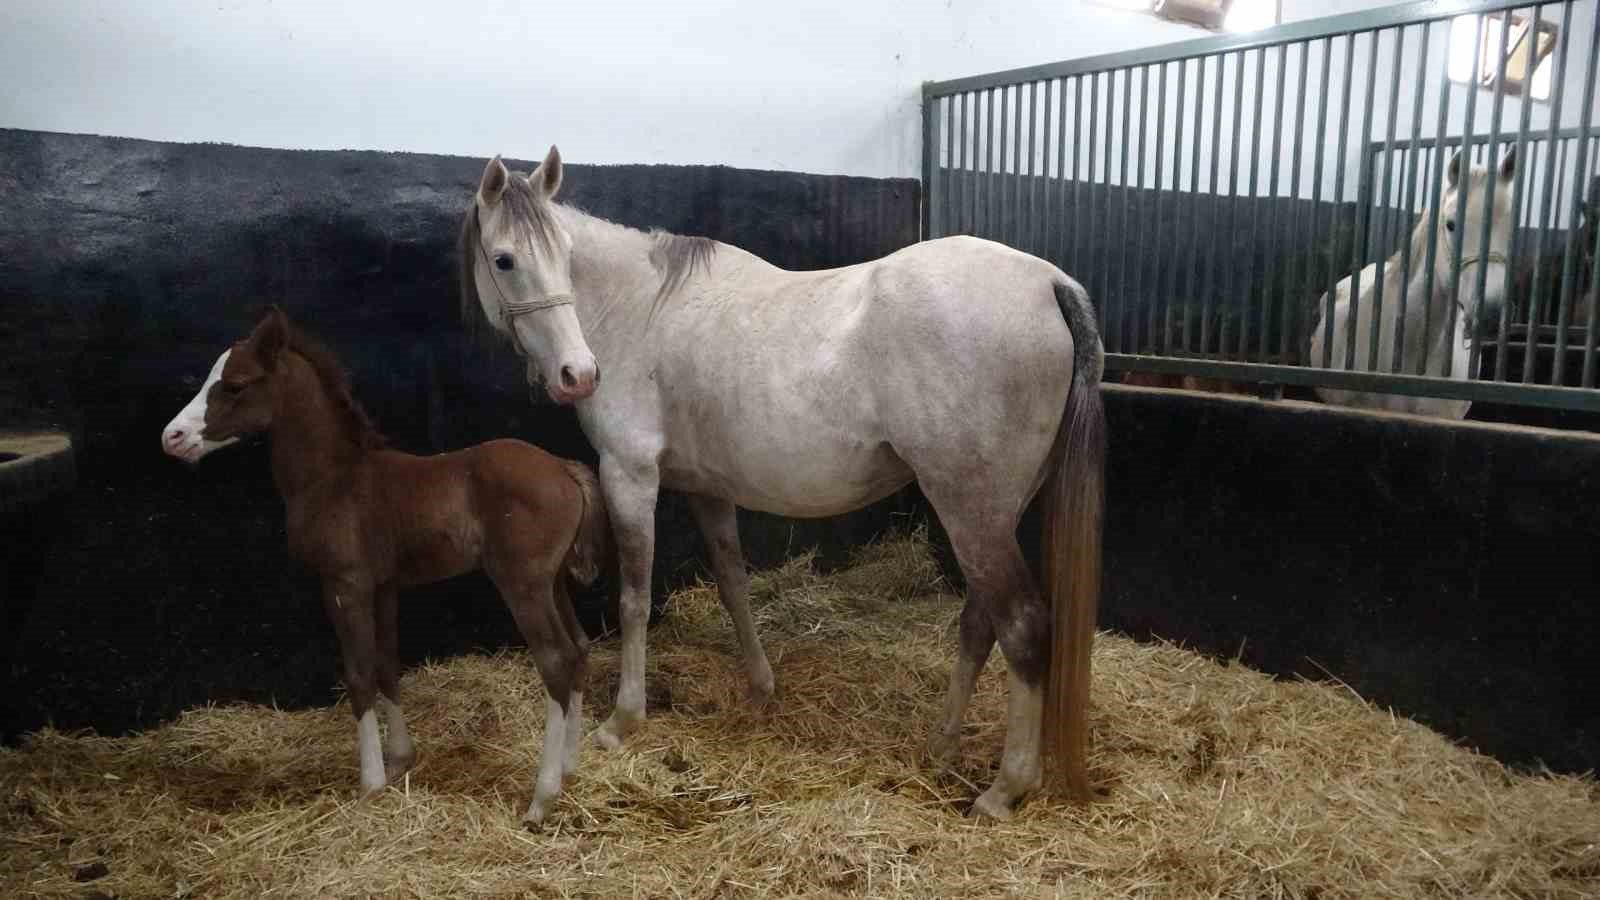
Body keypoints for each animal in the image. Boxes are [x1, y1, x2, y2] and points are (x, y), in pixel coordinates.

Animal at [164, 305, 604, 819]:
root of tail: (563, 468)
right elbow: (386, 663)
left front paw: (370, 782)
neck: (332, 478)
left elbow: (358, 674)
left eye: (234, 385)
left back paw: (541, 798)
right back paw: (570, 767)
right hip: (553, 581)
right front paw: (399, 759)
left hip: (523, 583)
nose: (172, 437)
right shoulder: (385, 584)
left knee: (555, 660)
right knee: (578, 649)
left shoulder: (344, 584)